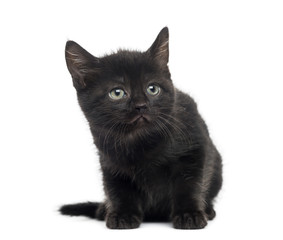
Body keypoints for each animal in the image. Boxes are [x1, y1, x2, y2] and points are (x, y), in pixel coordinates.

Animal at [60, 27, 224, 230]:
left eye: (152, 89)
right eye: (117, 93)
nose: (141, 106)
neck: (139, 140)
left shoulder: (194, 147)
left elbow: (189, 184)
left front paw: (189, 214)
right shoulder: (109, 162)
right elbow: (118, 189)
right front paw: (123, 215)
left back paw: (207, 210)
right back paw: (104, 209)